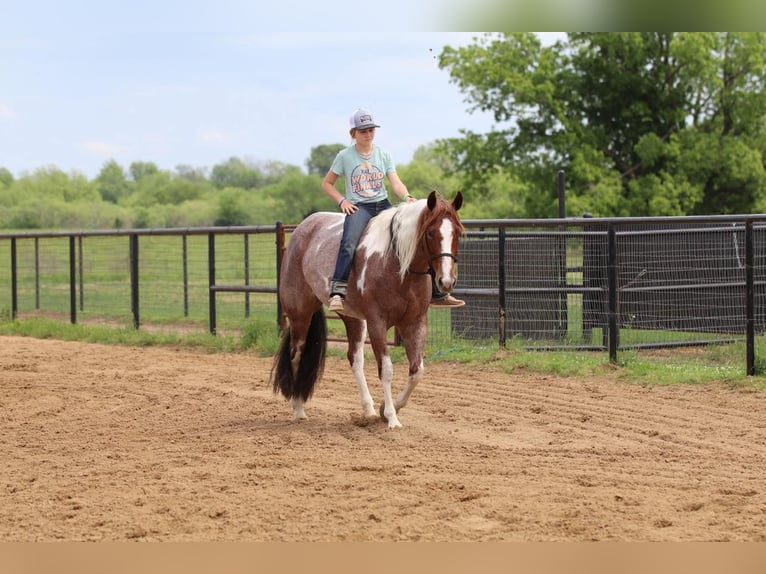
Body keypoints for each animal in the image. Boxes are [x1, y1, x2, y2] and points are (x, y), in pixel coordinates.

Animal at [276, 191, 468, 430]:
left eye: (457, 232)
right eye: (431, 232)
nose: (446, 281)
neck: (396, 264)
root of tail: (302, 229)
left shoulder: (415, 322)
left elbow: (417, 371)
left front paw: (387, 409)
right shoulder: (378, 322)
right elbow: (386, 370)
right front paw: (392, 418)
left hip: (353, 318)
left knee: (355, 359)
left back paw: (367, 409)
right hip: (300, 314)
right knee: (296, 354)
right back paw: (298, 408)